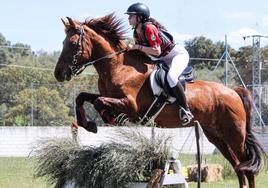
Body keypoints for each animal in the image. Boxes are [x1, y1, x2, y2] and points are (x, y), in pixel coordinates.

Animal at [54, 13, 266, 188]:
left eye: (72, 43)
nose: (58, 74)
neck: (118, 67)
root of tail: (233, 92)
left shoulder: (131, 106)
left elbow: (99, 103)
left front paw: (110, 119)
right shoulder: (111, 97)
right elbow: (82, 97)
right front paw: (89, 124)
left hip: (234, 134)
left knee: (246, 166)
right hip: (216, 136)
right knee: (238, 166)